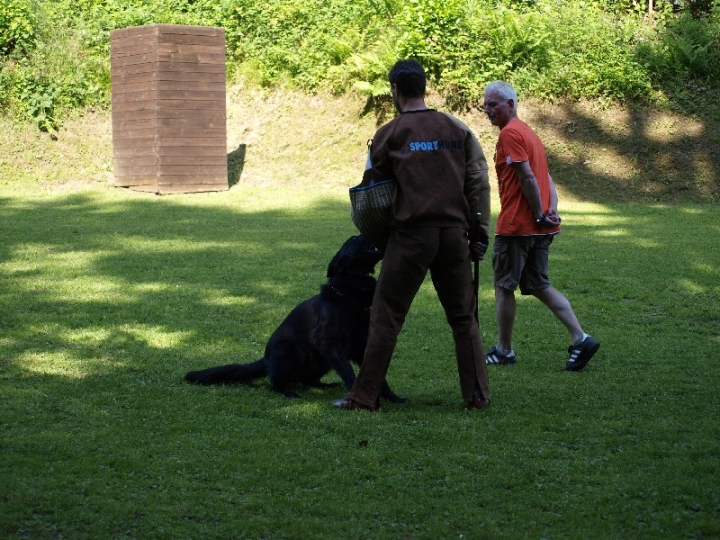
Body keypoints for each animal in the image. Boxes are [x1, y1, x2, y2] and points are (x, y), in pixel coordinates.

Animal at [186, 235, 404, 400]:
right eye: (354, 239)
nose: (364, 232)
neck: (349, 291)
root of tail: (265, 360)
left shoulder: (360, 344)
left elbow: (375, 373)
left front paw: (392, 397)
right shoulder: (326, 340)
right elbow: (348, 371)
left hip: (322, 360)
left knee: (308, 380)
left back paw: (325, 385)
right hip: (292, 352)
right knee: (275, 383)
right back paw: (287, 392)